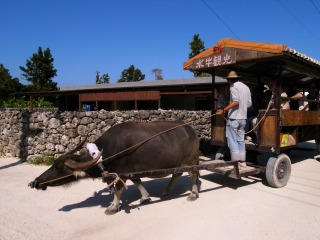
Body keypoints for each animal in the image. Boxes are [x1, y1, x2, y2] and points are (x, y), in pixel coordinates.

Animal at [30, 121, 200, 215]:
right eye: (53, 165)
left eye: (56, 167)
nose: (36, 182)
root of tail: (191, 130)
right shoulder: (128, 172)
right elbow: (137, 181)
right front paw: (145, 197)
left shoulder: (120, 173)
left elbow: (118, 190)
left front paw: (112, 207)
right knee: (177, 175)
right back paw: (166, 192)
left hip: (191, 159)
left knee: (193, 175)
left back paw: (193, 194)